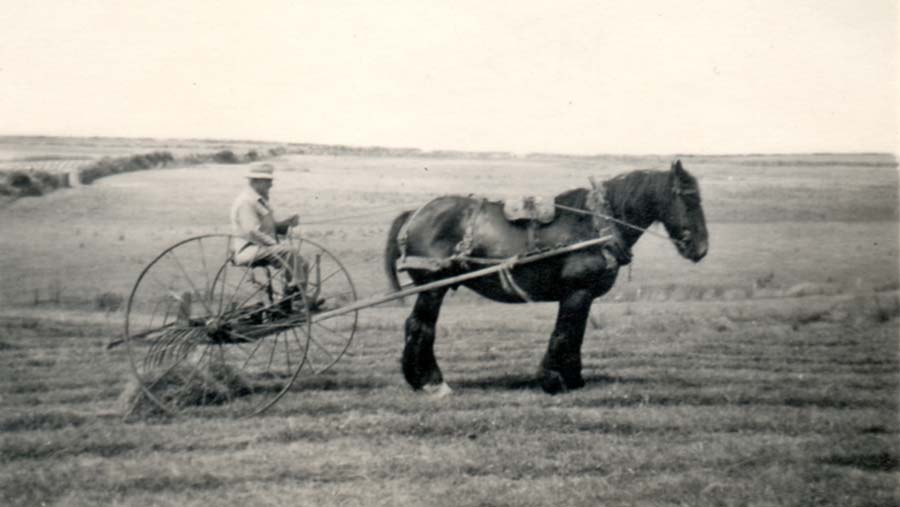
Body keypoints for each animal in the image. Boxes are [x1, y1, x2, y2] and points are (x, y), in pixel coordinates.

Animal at [384, 161, 708, 394]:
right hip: (432, 287)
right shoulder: (577, 292)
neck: (595, 225)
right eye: (689, 198)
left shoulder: (583, 295)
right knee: (420, 326)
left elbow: (576, 334)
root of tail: (415, 214)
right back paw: (432, 382)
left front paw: (573, 379)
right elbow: (565, 333)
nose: (701, 248)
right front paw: (554, 380)